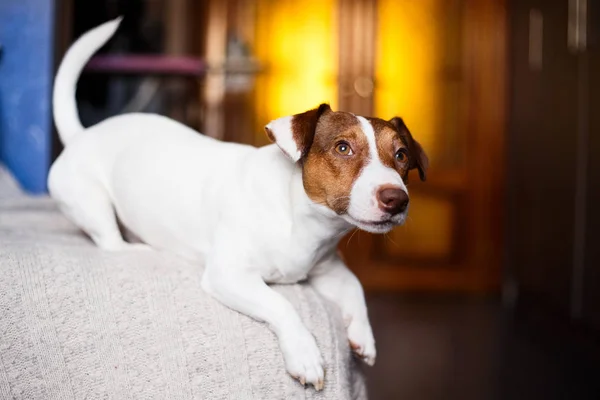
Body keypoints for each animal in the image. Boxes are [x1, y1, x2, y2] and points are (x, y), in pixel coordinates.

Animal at [49, 18, 428, 390]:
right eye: (343, 148)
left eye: (401, 155)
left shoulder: (328, 268)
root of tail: (82, 134)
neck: (299, 217)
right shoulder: (229, 275)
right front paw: (304, 353)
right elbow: (280, 304)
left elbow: (355, 287)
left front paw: (363, 335)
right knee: (110, 241)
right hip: (92, 203)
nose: (396, 199)